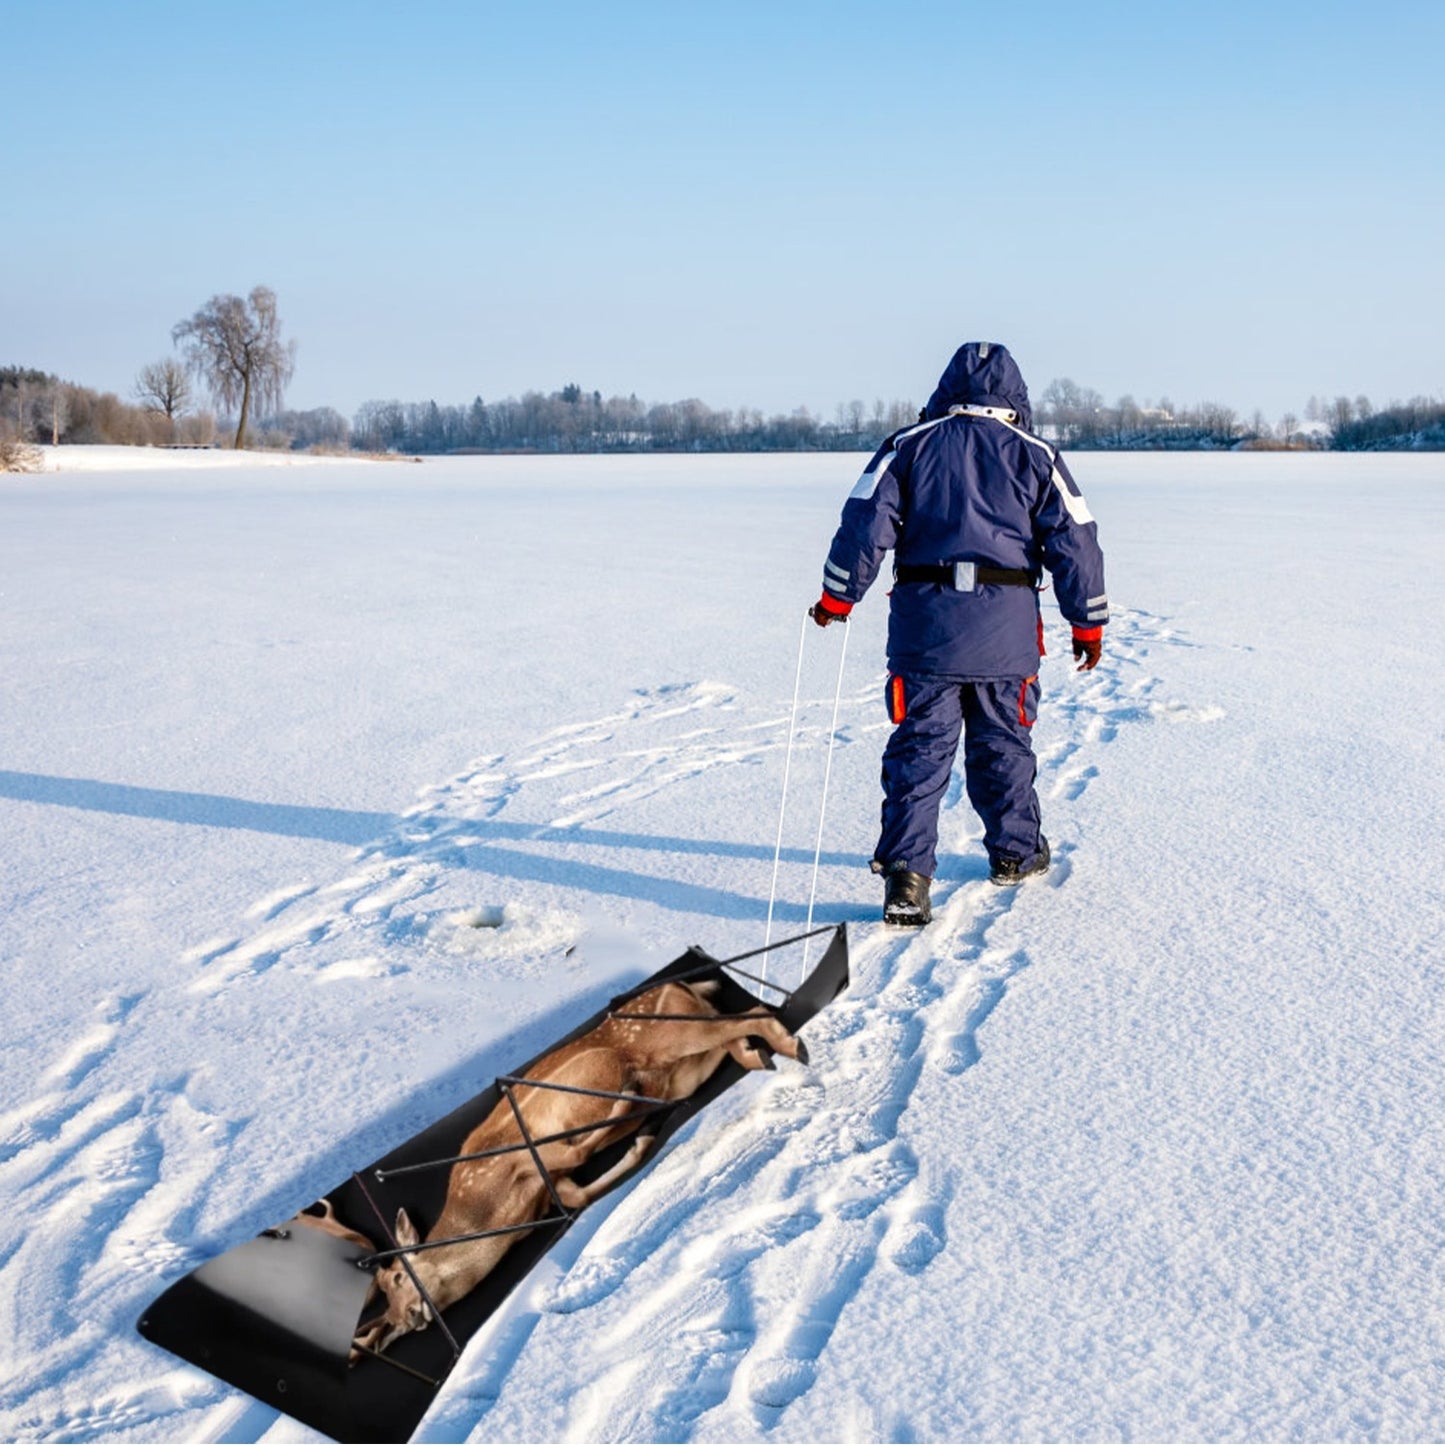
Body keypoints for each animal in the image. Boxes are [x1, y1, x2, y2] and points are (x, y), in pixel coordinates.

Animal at [350, 978, 808, 1361]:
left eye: (396, 1278)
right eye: (387, 1313)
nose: (408, 1318)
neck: (493, 1212)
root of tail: (685, 984)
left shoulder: (520, 1153)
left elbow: (575, 1155)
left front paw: (626, 1108)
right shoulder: (551, 1185)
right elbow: (578, 1194)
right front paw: (640, 1139)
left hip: (670, 1036)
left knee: (750, 1013)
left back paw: (788, 1048)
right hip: (684, 1069)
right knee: (730, 1035)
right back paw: (756, 1054)